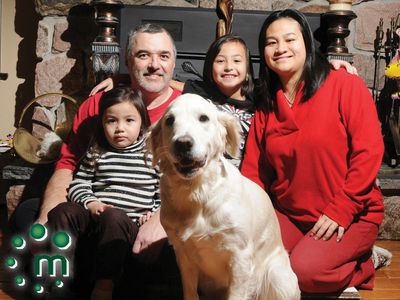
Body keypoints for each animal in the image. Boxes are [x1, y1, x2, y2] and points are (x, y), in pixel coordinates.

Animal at [148, 94, 298, 300]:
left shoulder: (240, 257)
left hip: (279, 278)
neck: (197, 191)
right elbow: (189, 291)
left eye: (204, 118)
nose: (183, 143)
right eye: (169, 120)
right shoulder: (183, 255)